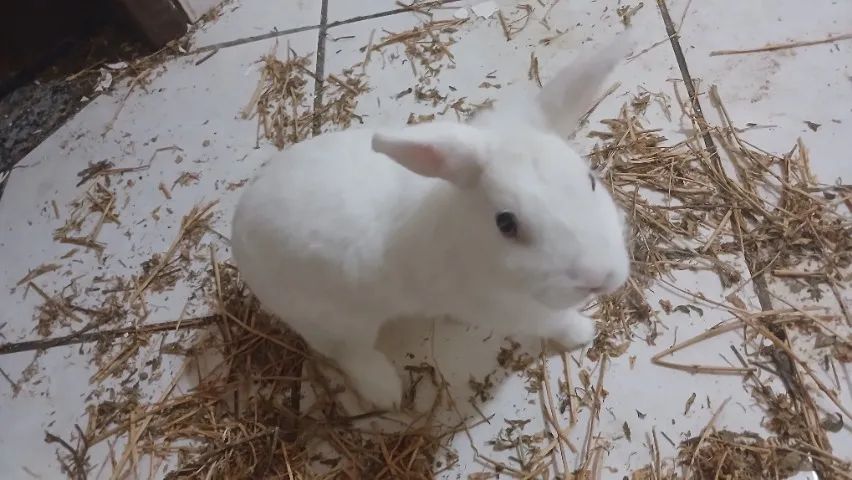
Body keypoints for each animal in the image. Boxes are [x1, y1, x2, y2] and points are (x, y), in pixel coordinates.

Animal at [231, 38, 632, 410]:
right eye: (506, 223)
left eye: (590, 180)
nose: (599, 277)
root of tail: (239, 229)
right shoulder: (507, 309)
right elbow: (553, 320)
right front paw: (584, 331)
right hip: (338, 320)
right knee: (348, 353)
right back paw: (386, 392)